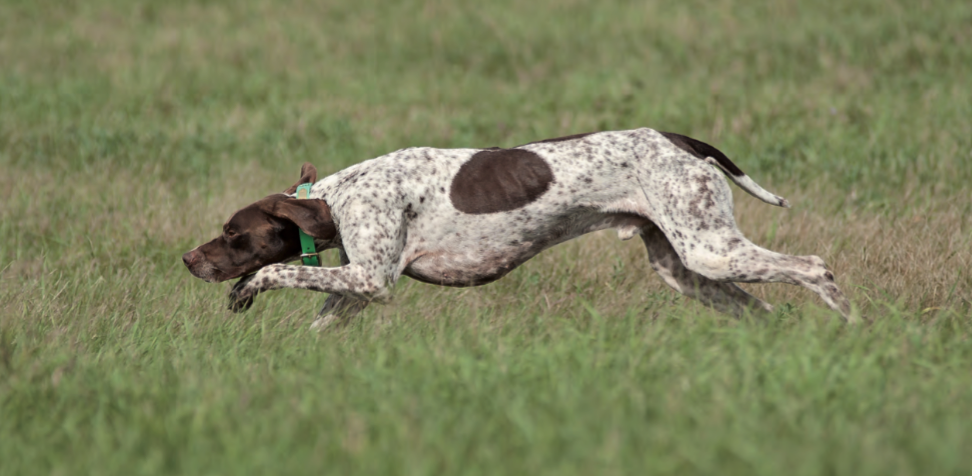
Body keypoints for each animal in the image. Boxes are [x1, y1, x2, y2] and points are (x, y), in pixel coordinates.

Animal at [182, 127, 852, 328]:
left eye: (232, 232)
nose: (188, 260)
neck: (335, 198)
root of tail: (679, 138)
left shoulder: (372, 281)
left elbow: (276, 272)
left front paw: (244, 290)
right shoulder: (357, 289)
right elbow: (318, 325)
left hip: (710, 250)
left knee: (817, 269)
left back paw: (853, 329)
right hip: (684, 266)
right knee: (764, 312)